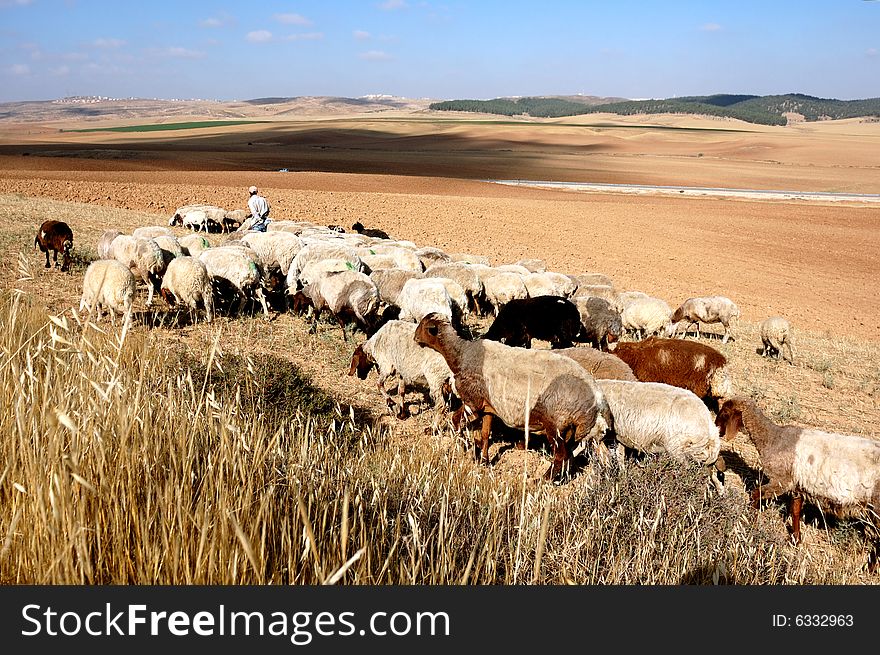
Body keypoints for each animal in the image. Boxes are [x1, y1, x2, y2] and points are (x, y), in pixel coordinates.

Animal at [414, 312, 612, 482]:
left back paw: (542, 480)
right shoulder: (488, 407)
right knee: (578, 456)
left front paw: (465, 447)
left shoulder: (473, 403)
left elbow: (455, 420)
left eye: (423, 325)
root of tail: (598, 400)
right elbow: (485, 434)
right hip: (578, 431)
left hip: (556, 425)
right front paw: (484, 460)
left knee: (561, 456)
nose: (415, 338)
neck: (460, 355)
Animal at [716, 398, 880, 572]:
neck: (772, 438)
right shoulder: (797, 487)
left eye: (725, 413)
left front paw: (749, 521)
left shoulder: (781, 481)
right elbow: (795, 511)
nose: (716, 428)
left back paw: (869, 568)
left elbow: (755, 494)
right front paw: (796, 540)